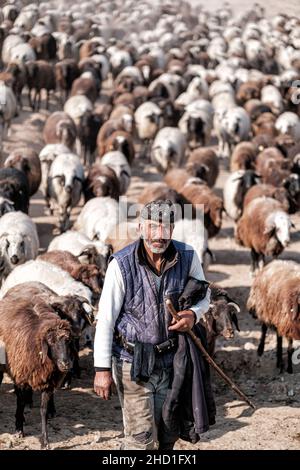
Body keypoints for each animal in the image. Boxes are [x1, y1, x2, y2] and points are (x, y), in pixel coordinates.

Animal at [0, 294, 71, 448]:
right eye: (51, 342)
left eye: (68, 341)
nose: (66, 363)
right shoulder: (21, 377)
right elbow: (20, 403)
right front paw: (19, 428)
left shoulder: (48, 383)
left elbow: (43, 410)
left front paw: (45, 441)